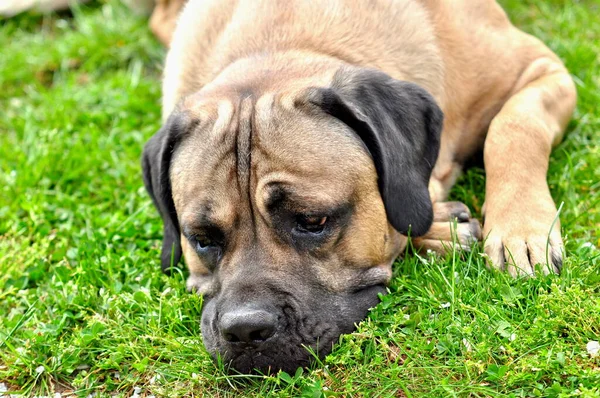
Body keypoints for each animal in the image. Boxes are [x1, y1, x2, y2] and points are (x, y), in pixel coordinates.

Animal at [142, 0, 576, 374]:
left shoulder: (542, 68)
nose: (245, 330)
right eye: (201, 239)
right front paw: (442, 228)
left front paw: (522, 230)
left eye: (312, 220)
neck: (286, 43)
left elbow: (513, 126)